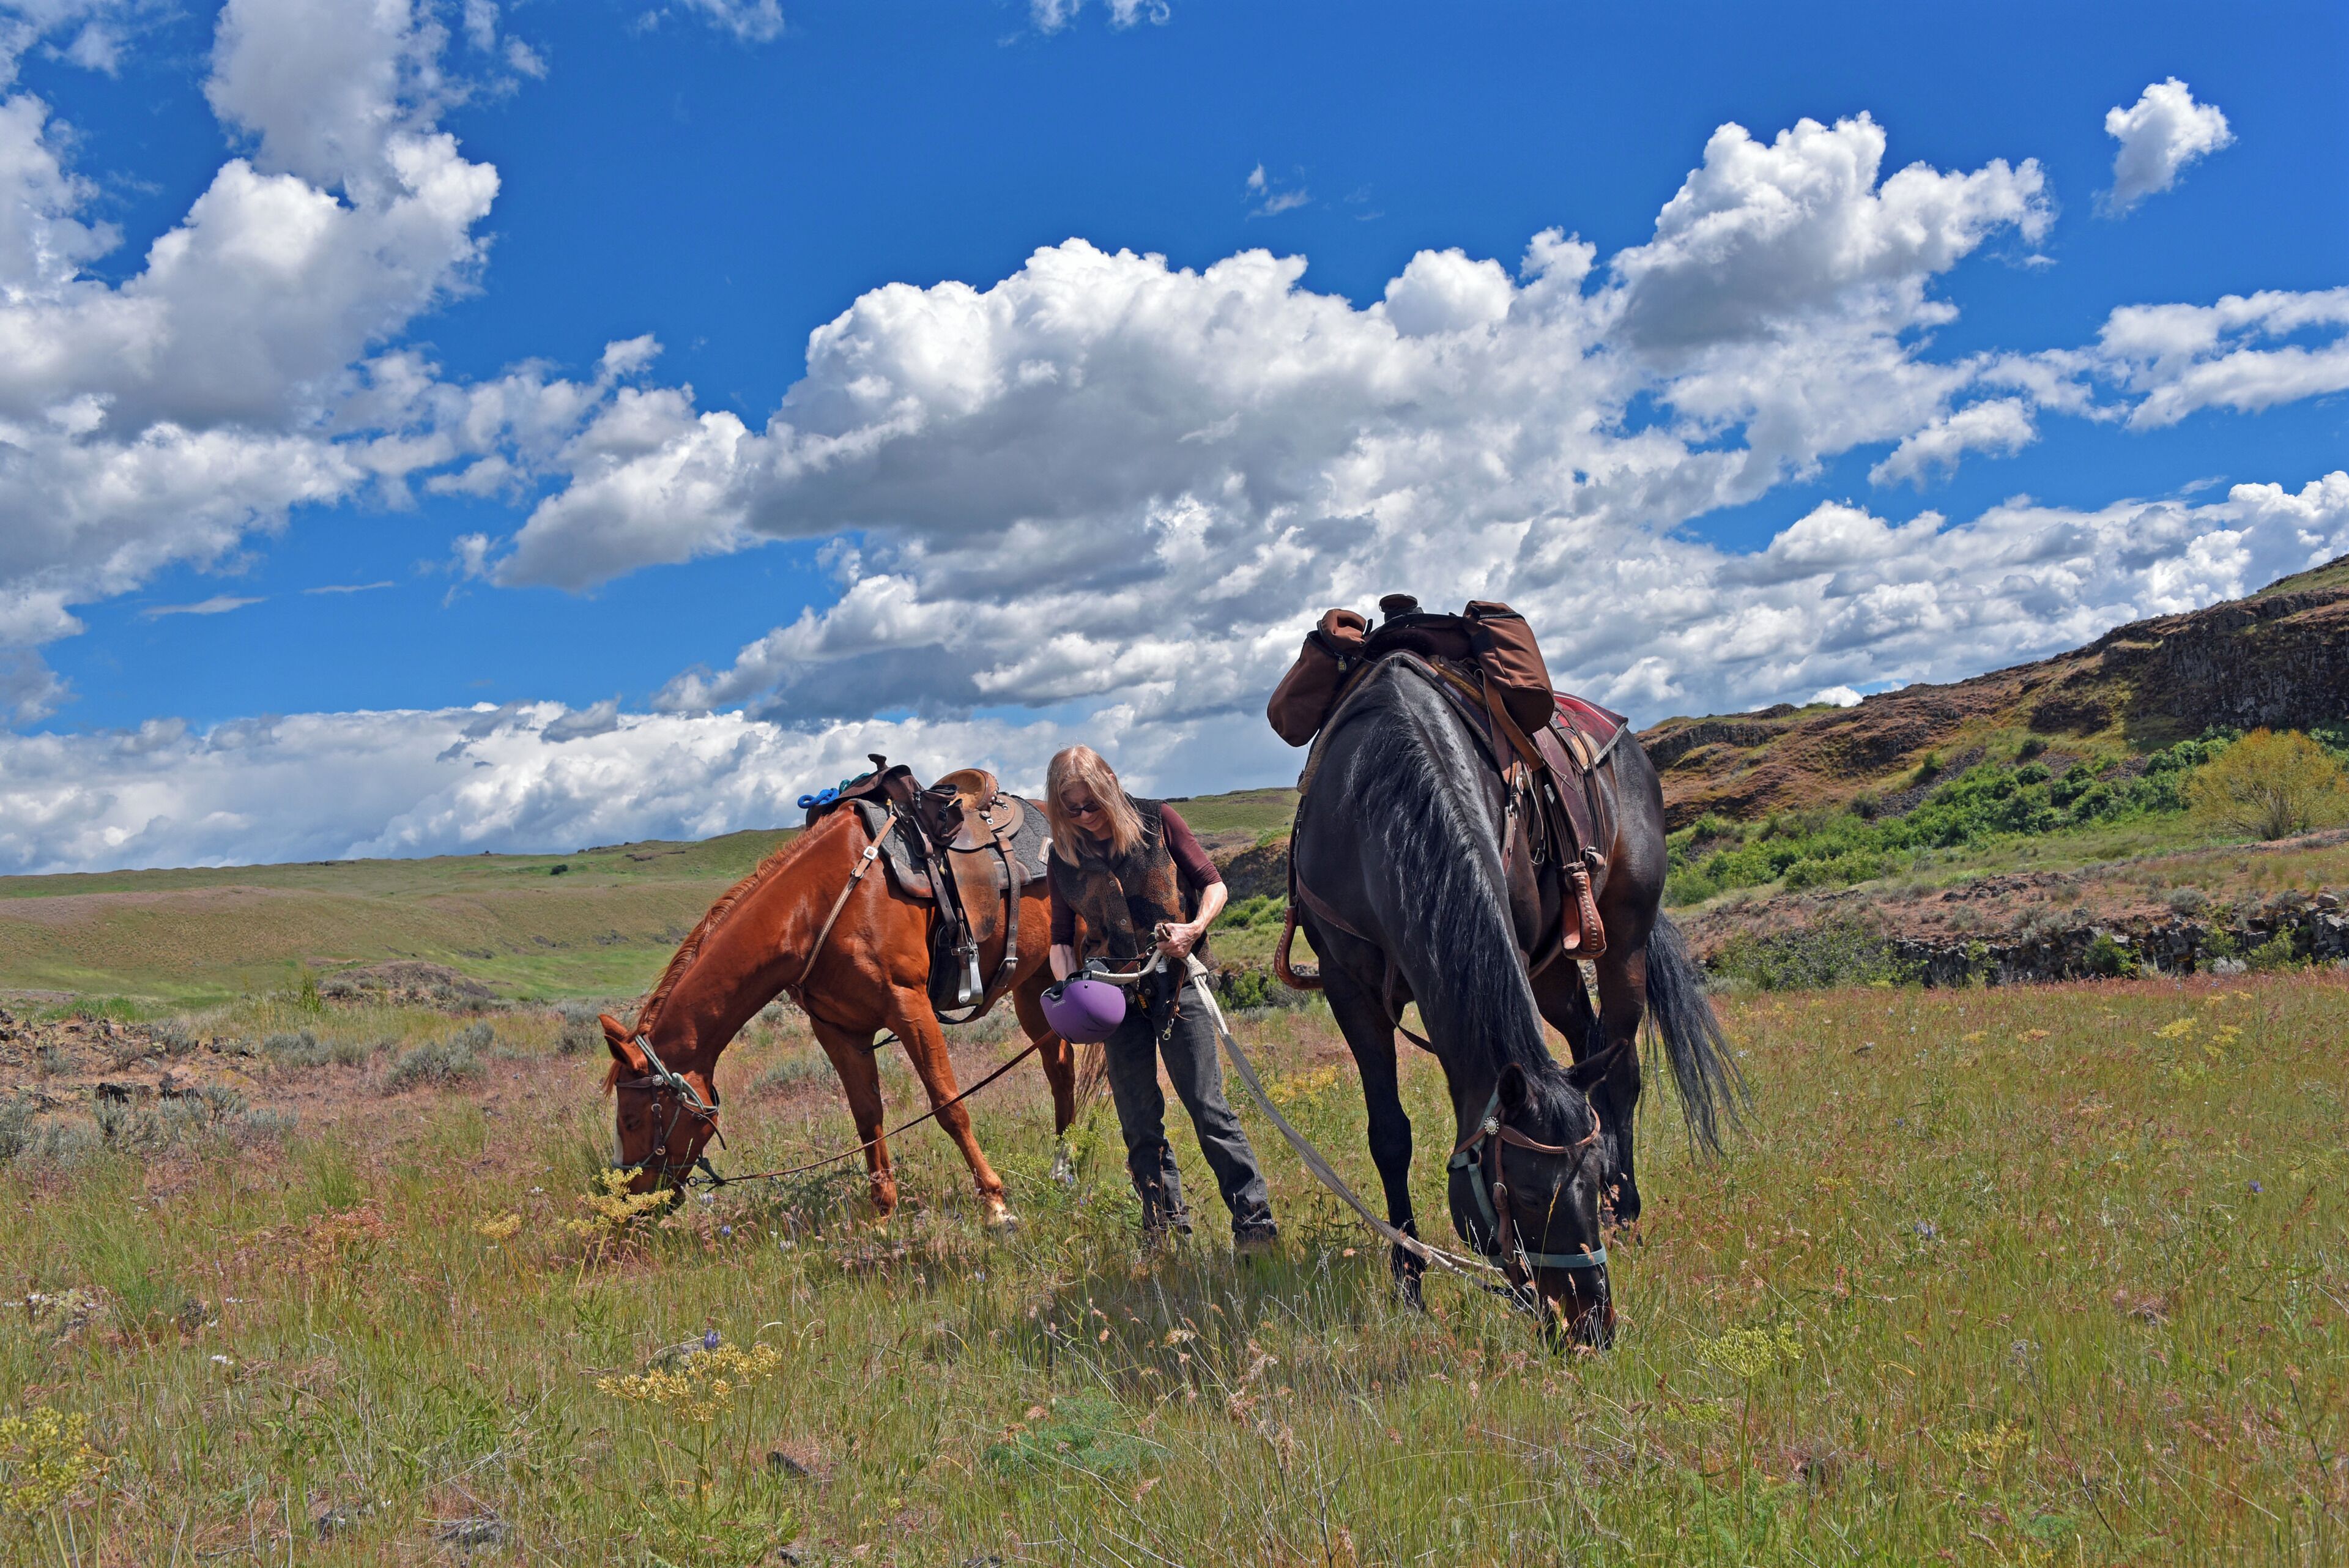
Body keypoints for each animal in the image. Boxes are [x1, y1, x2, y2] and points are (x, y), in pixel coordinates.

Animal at [595, 803, 1076, 1226]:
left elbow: (949, 1107)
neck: (813, 909)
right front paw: (882, 1217)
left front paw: (995, 1205)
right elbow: (868, 1118)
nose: (630, 1204)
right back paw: (1065, 1166)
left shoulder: (910, 1006)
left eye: (632, 1119)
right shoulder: (839, 1031)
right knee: (1060, 1066)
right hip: (1033, 986)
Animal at [1289, 654, 1740, 1342]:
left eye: (1586, 1174)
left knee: (1622, 1070)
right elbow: (1390, 1133)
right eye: (1526, 1195)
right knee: (1589, 1047)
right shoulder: (1348, 987)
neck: (1373, 797)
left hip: (1623, 938)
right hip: (1554, 970)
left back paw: (1628, 1215)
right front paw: (1410, 1282)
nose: (1592, 1320)